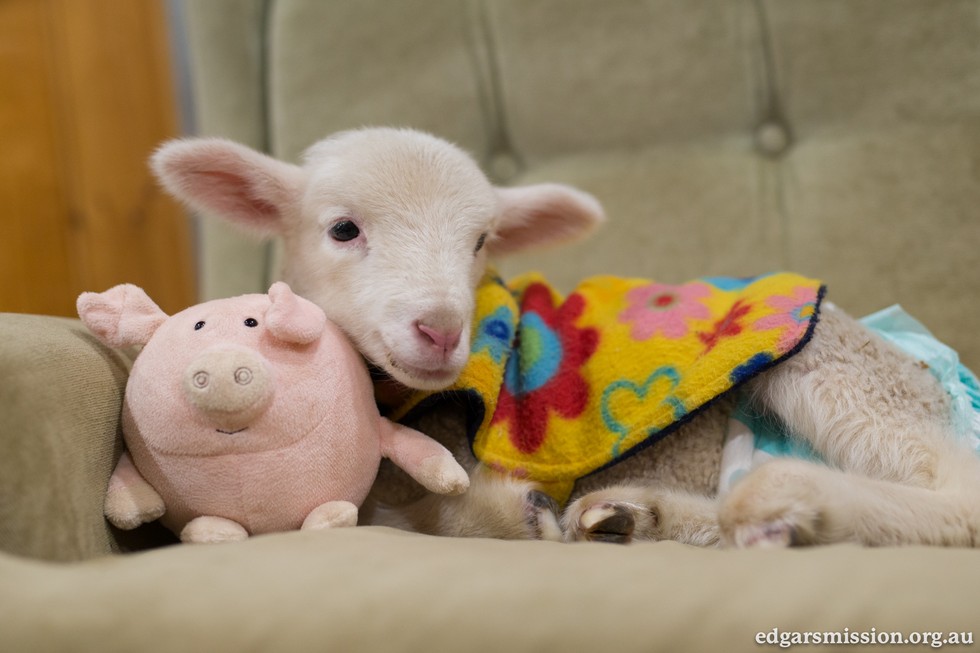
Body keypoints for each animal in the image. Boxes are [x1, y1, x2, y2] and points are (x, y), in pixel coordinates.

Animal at [152, 127, 980, 547]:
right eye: (343, 229)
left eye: (481, 240)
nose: (440, 330)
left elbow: (421, 512)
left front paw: (503, 511)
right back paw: (635, 514)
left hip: (833, 366)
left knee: (959, 488)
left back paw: (795, 497)